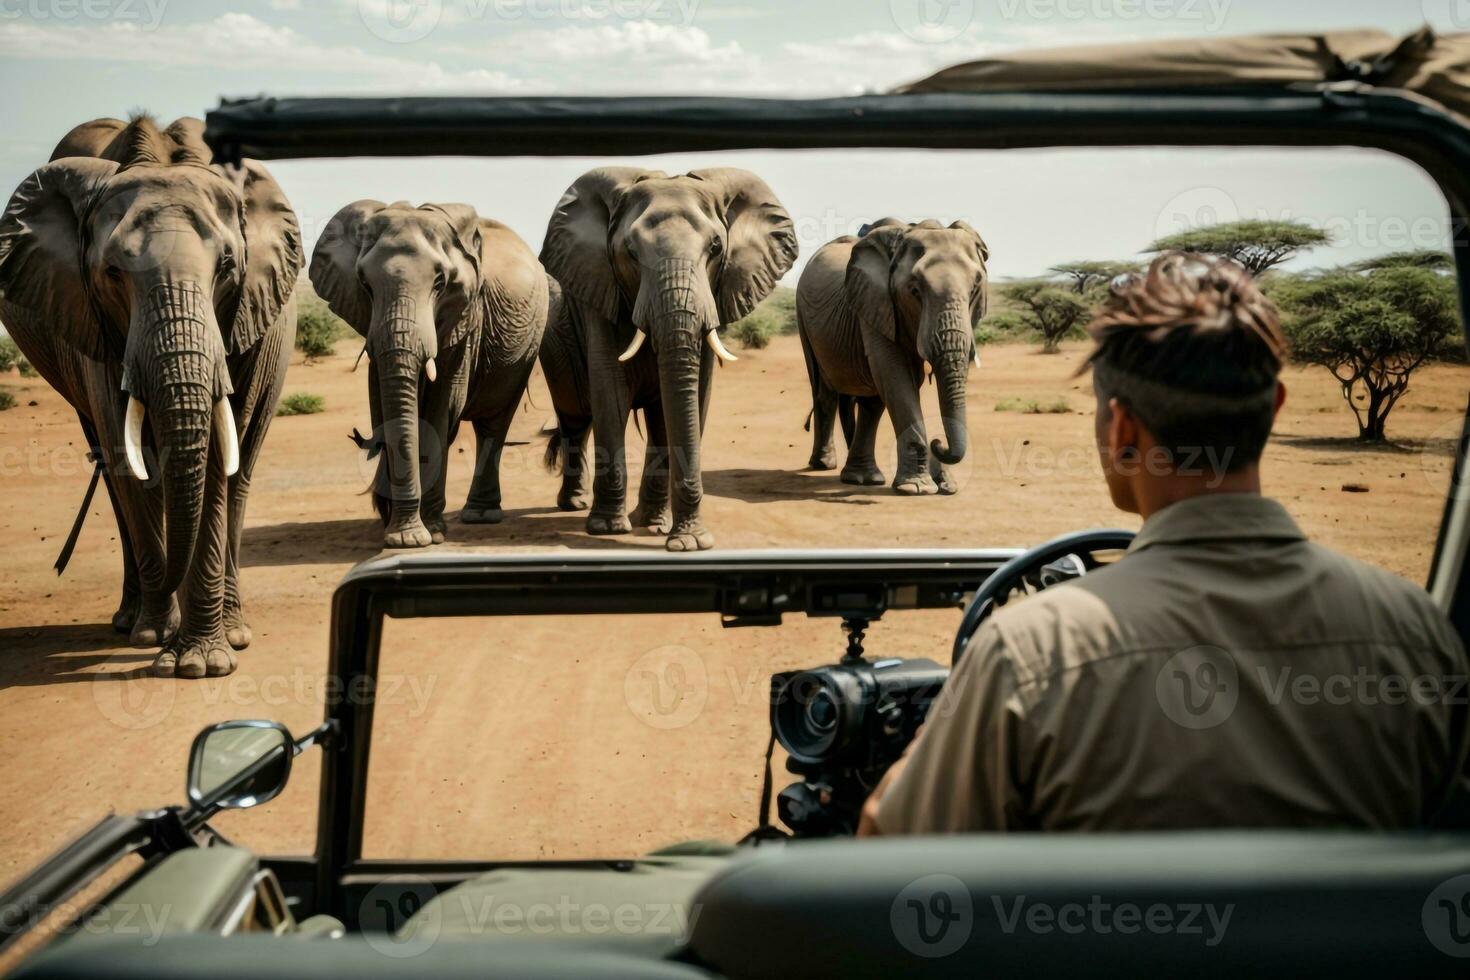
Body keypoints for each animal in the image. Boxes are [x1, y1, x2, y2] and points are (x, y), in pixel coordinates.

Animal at [0, 115, 302, 678]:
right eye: (112, 273)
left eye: (227, 268)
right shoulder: (91, 320)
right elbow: (129, 453)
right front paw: (157, 638)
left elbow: (216, 458)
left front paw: (200, 662)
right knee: (114, 468)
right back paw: (134, 622)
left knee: (241, 469)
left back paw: (232, 628)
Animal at [310, 202, 546, 549]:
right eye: (364, 284)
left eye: (440, 283)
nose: (399, 529)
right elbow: (383, 406)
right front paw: (396, 529)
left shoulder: (464, 319)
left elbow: (440, 410)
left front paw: (427, 534)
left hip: (527, 348)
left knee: (494, 424)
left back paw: (480, 515)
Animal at [538, 168, 799, 552]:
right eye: (630, 251)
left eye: (716, 248)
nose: (692, 539)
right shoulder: (600, 290)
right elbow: (610, 392)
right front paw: (609, 529)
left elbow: (688, 402)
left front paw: (671, 535)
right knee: (575, 415)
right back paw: (575, 505)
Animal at [793, 221, 987, 499]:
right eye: (914, 291)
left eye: (974, 291)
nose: (938, 443)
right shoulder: (877, 303)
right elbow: (896, 376)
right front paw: (916, 488)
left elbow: (901, 381)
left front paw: (942, 484)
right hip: (803, 317)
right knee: (824, 392)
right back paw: (824, 465)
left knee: (870, 403)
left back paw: (863, 478)